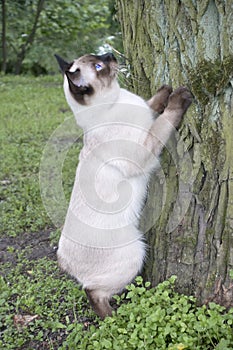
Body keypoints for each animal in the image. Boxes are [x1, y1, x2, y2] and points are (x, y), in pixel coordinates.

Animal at [55, 52, 193, 320]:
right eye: (99, 66)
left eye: (98, 59)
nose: (110, 54)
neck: (116, 100)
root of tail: (64, 262)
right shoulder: (147, 144)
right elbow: (166, 118)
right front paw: (179, 97)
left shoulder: (145, 111)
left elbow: (152, 103)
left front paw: (165, 89)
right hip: (135, 252)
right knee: (93, 293)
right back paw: (116, 318)